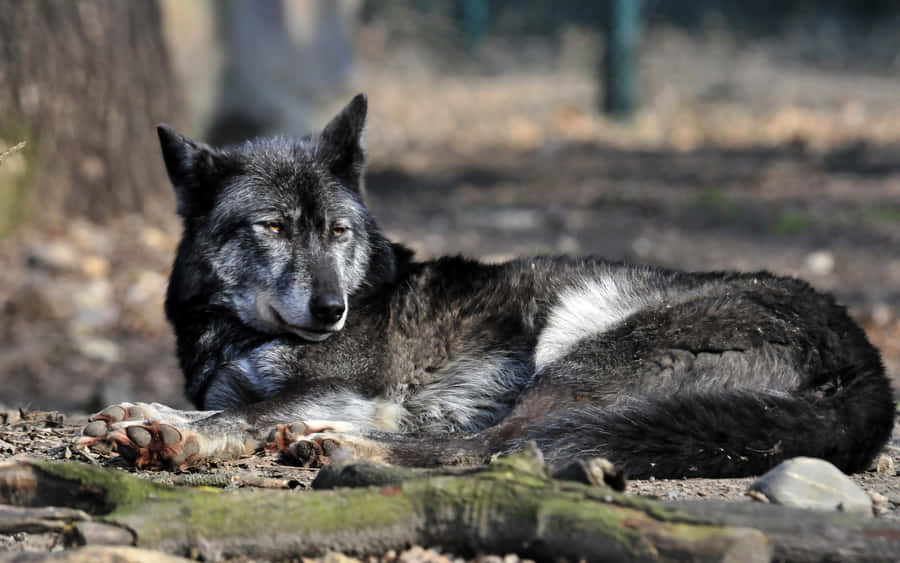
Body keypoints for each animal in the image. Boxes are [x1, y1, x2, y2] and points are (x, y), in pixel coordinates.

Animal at [80, 94, 894, 479]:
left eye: (337, 231)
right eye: (273, 227)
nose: (332, 309)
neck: (237, 333)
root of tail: (865, 360)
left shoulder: (350, 386)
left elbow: (242, 415)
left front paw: (178, 433)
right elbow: (210, 402)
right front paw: (147, 412)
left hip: (581, 344)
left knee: (501, 447)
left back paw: (340, 447)